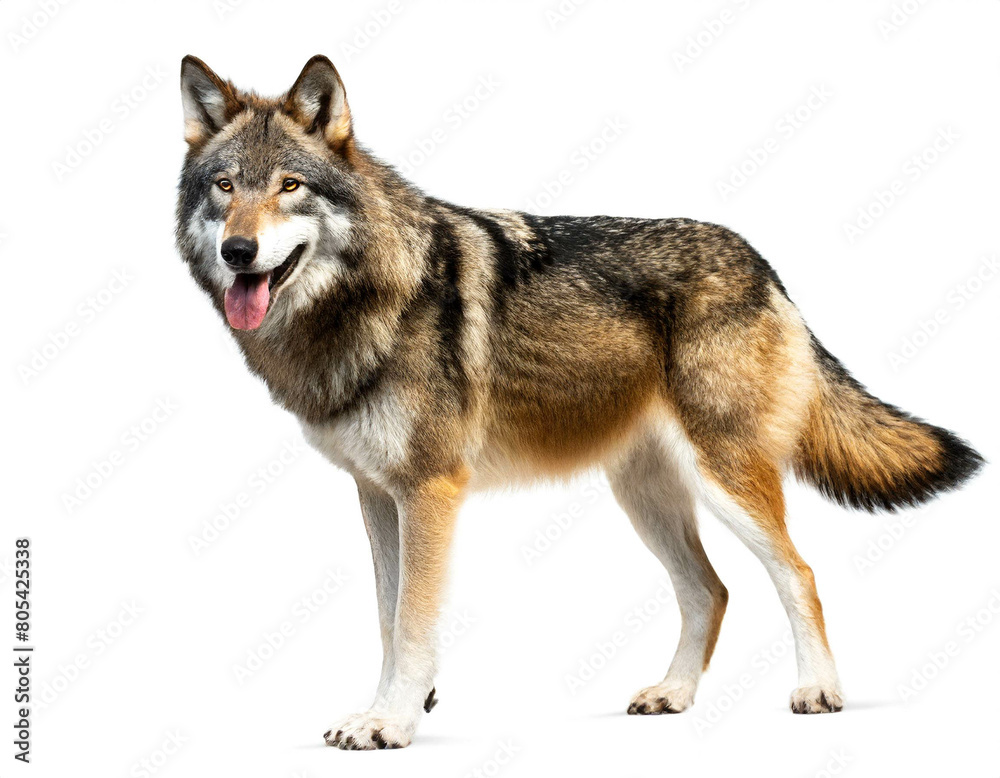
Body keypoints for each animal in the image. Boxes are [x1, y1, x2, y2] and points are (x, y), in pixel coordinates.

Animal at [175, 55, 983, 749]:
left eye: (289, 186)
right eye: (225, 187)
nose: (239, 253)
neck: (370, 296)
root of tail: (764, 264)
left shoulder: (431, 491)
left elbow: (410, 623)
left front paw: (392, 724)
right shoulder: (377, 494)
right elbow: (385, 618)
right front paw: (390, 709)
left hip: (726, 480)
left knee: (799, 573)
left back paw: (818, 691)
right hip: (644, 498)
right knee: (711, 591)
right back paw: (673, 694)